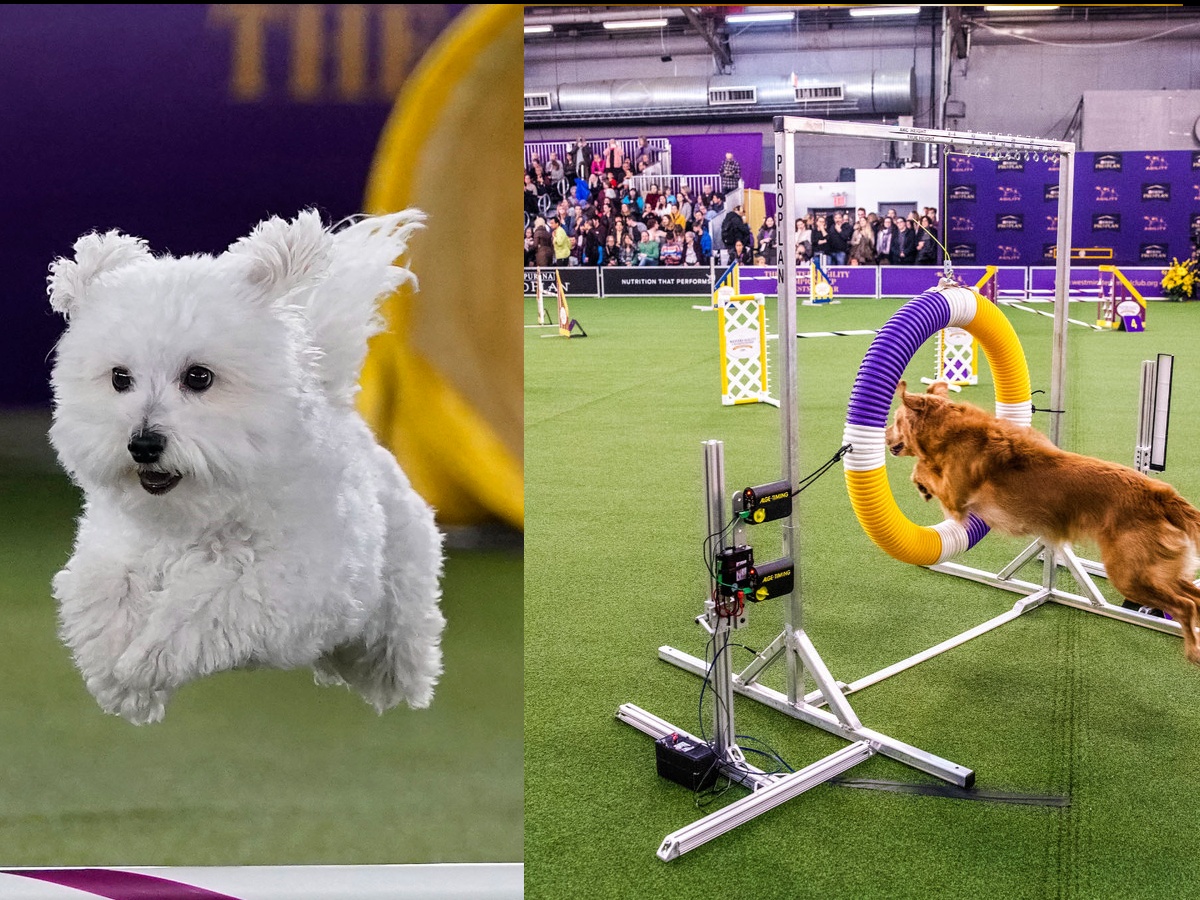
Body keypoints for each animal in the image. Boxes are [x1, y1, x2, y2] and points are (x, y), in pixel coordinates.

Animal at [45, 210, 451, 724]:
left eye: (199, 377)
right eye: (120, 378)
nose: (143, 444)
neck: (195, 513)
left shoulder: (287, 580)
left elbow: (204, 605)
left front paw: (144, 663)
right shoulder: (111, 552)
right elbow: (105, 596)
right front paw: (119, 680)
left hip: (398, 588)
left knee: (397, 645)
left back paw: (406, 684)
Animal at [888, 376, 1200, 667]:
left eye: (895, 420)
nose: (884, 437)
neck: (949, 429)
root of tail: (1160, 493)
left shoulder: (956, 499)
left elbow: (922, 468)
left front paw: (921, 484)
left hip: (1129, 574)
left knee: (1185, 605)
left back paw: (1192, 651)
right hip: (1155, 571)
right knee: (1195, 597)